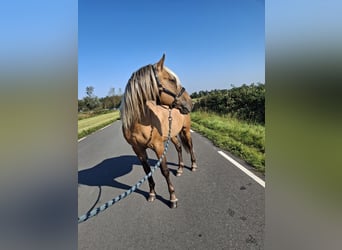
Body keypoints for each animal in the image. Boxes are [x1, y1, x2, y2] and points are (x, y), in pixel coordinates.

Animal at [120, 55, 196, 209]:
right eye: (172, 80)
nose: (191, 103)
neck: (140, 122)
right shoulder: (138, 150)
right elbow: (147, 171)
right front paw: (152, 194)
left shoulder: (159, 147)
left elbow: (164, 170)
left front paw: (172, 198)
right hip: (172, 135)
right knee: (179, 148)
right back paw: (180, 169)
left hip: (185, 131)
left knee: (190, 146)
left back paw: (193, 165)